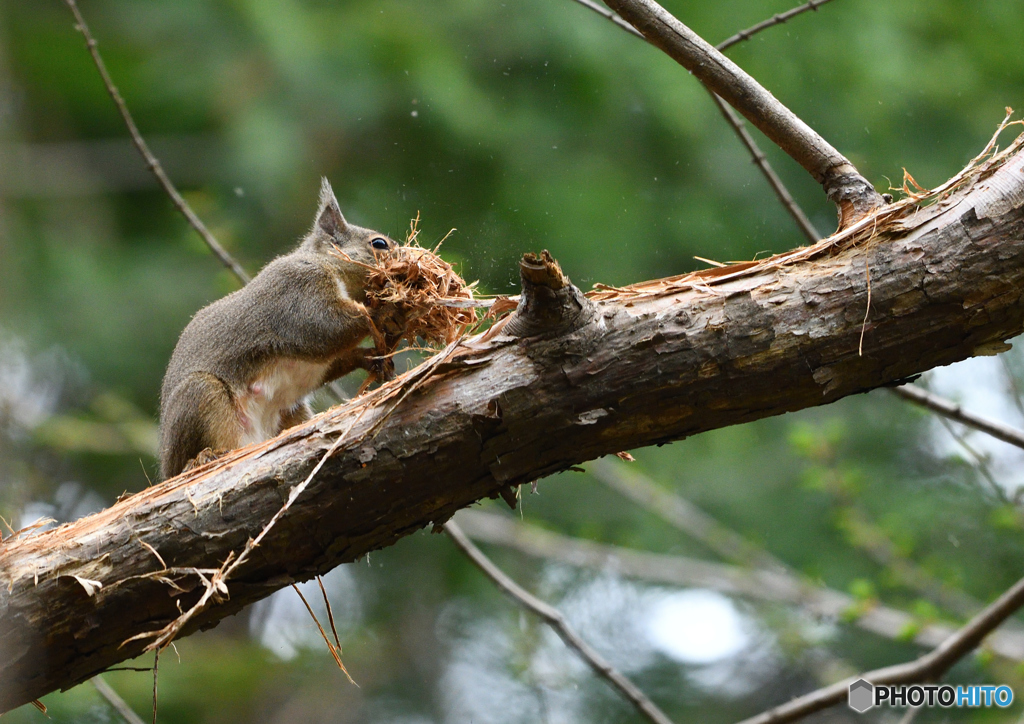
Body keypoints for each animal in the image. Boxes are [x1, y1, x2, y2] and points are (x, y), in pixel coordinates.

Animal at [159, 178, 399, 479]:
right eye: (379, 243)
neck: (326, 265)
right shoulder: (298, 292)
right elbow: (325, 330)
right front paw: (385, 307)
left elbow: (331, 359)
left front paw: (370, 358)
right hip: (200, 395)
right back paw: (202, 458)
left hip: (290, 412)